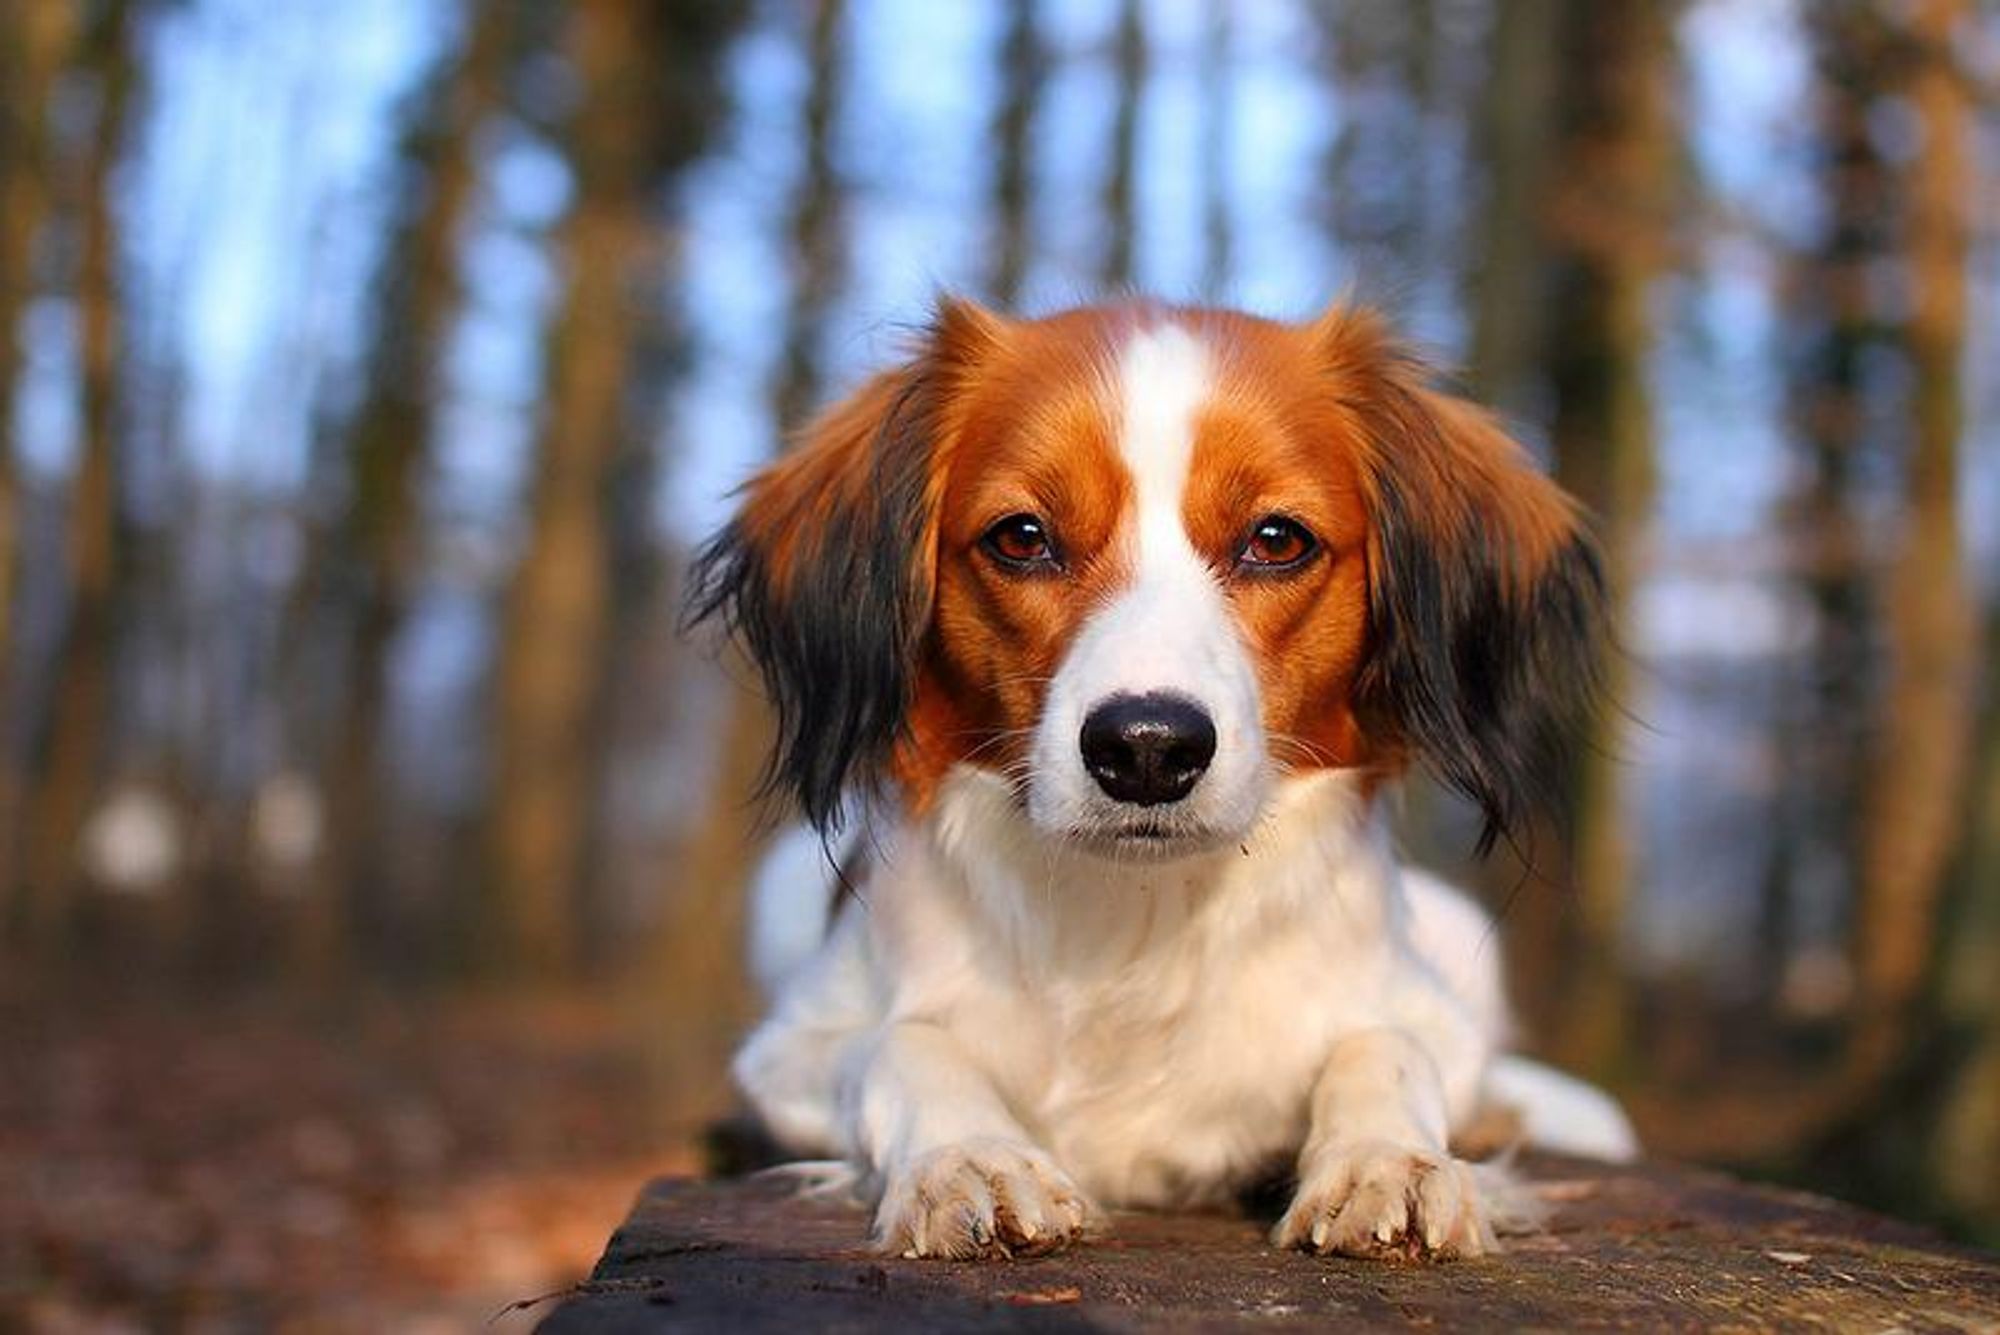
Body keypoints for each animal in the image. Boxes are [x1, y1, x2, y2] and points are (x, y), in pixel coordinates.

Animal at [696, 299, 1632, 1263]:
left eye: (1276, 539)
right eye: (1021, 537)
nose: (1147, 747)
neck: (1139, 918)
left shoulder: (1430, 1015)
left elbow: (1385, 1045)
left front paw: (1387, 1162)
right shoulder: (787, 1052)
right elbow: (899, 1044)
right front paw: (972, 1154)